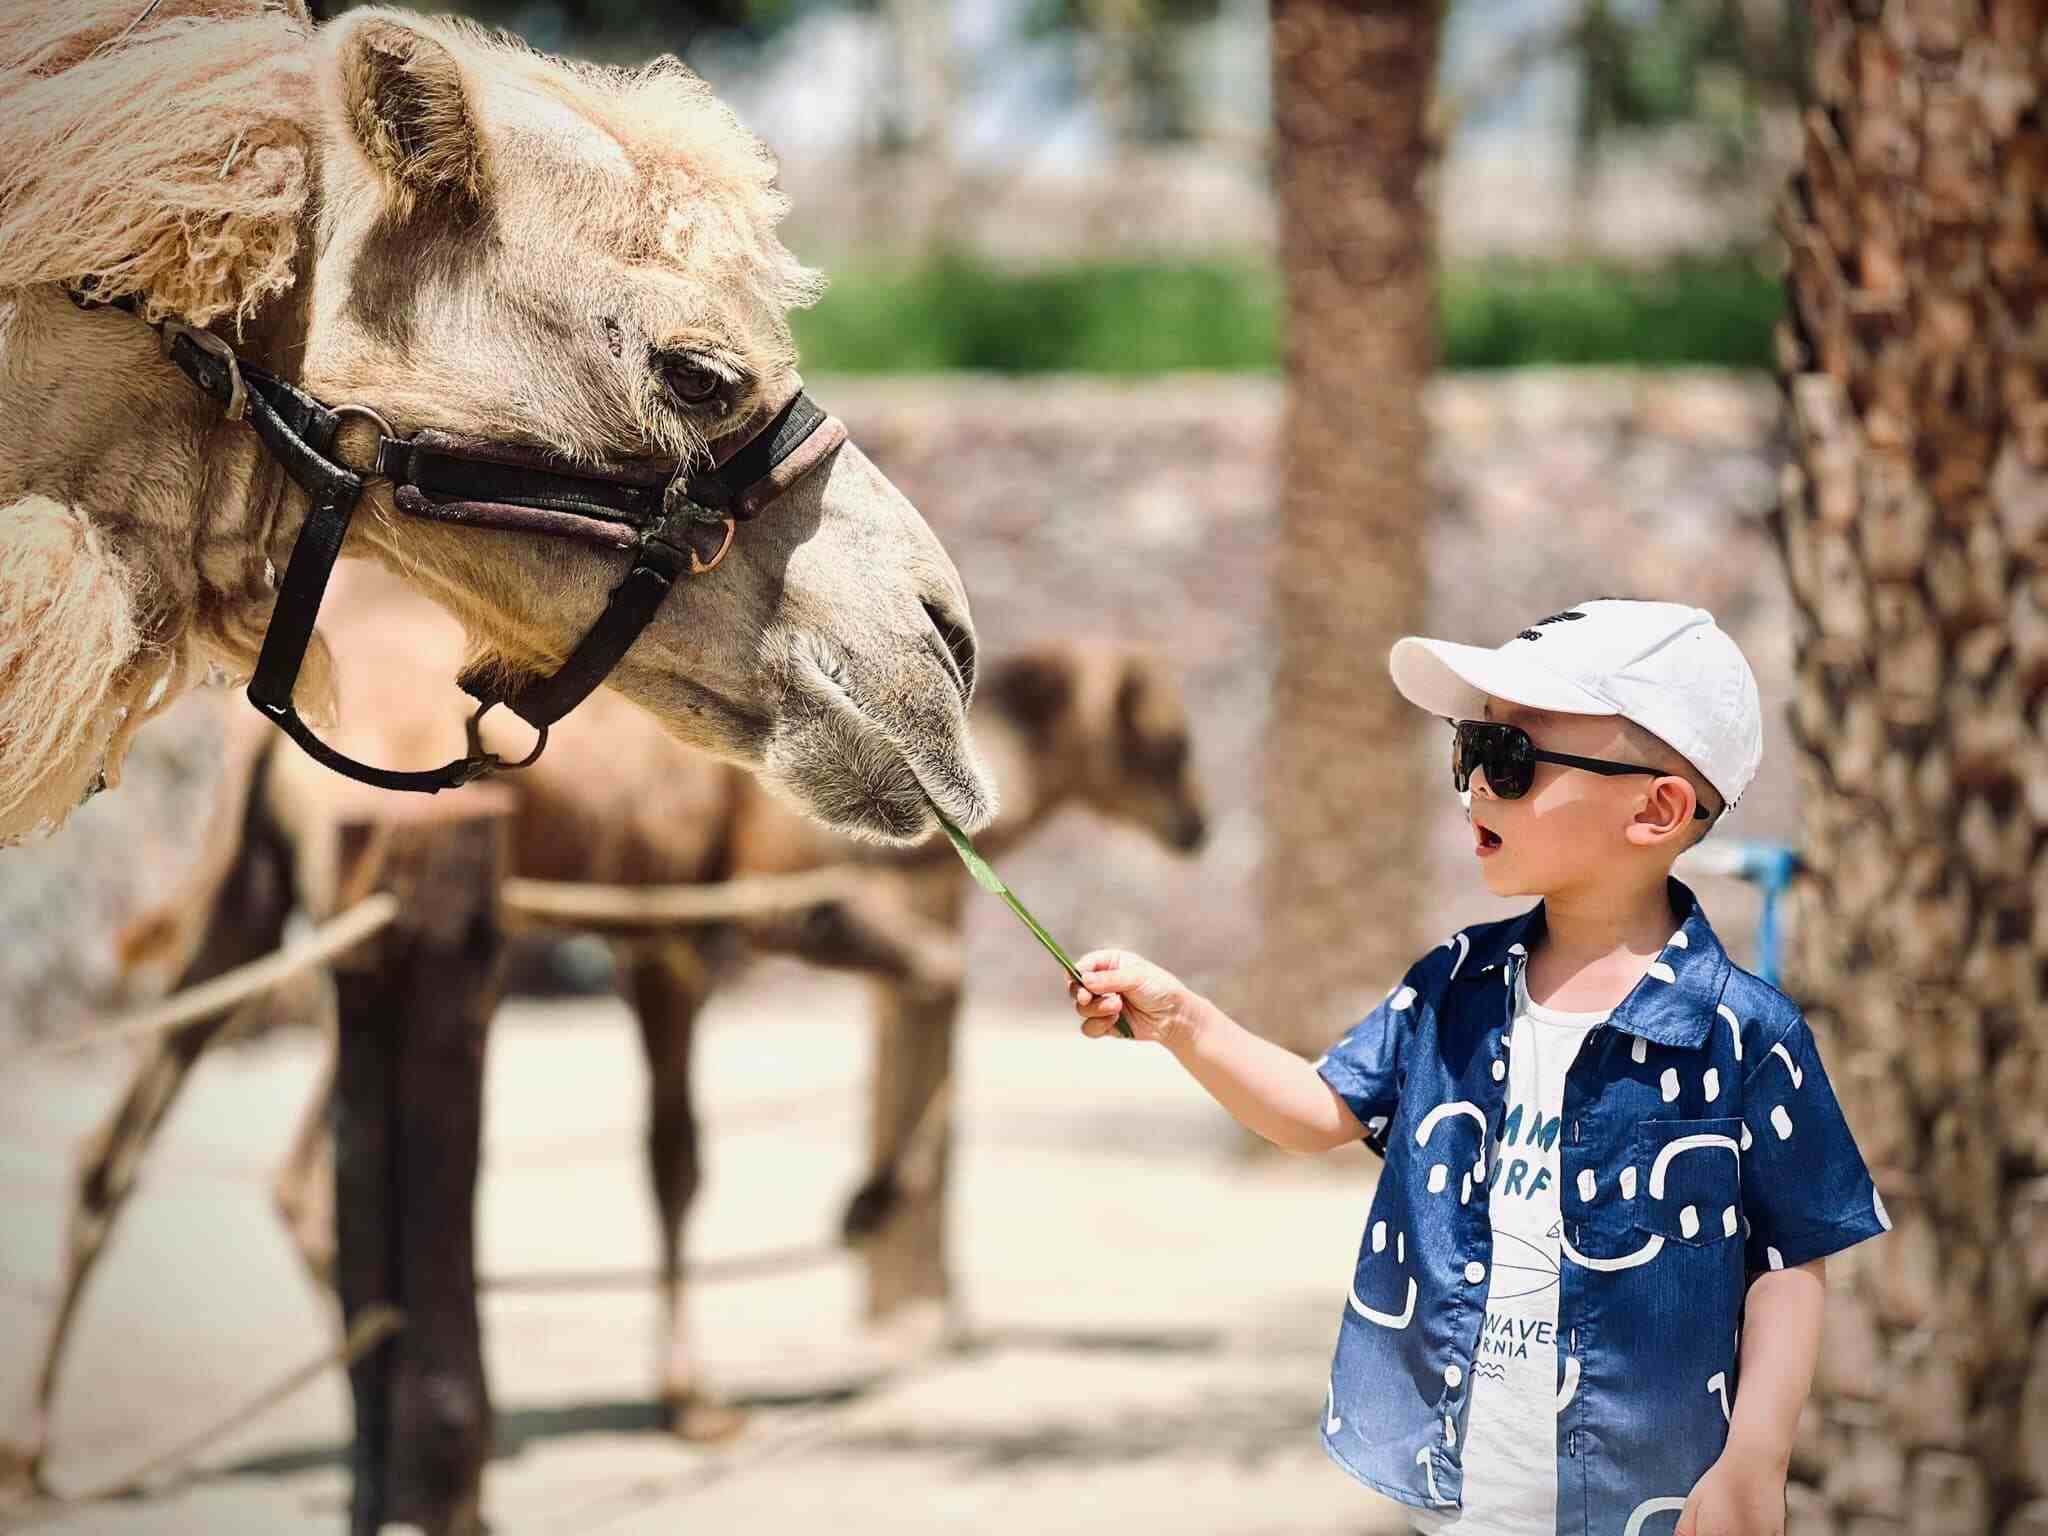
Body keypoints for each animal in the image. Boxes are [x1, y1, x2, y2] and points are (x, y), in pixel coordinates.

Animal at [12, 561, 1196, 1482]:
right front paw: (715, 1382)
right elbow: (713, 1134)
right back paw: (415, 1432)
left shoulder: (649, 937)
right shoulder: (743, 917)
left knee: (120, 1138)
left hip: (247, 891)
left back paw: (37, 1453)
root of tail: (271, 735)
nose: (1198, 825)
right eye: (1170, 742)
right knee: (301, 1170)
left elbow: (682, 1143)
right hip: (376, 892)